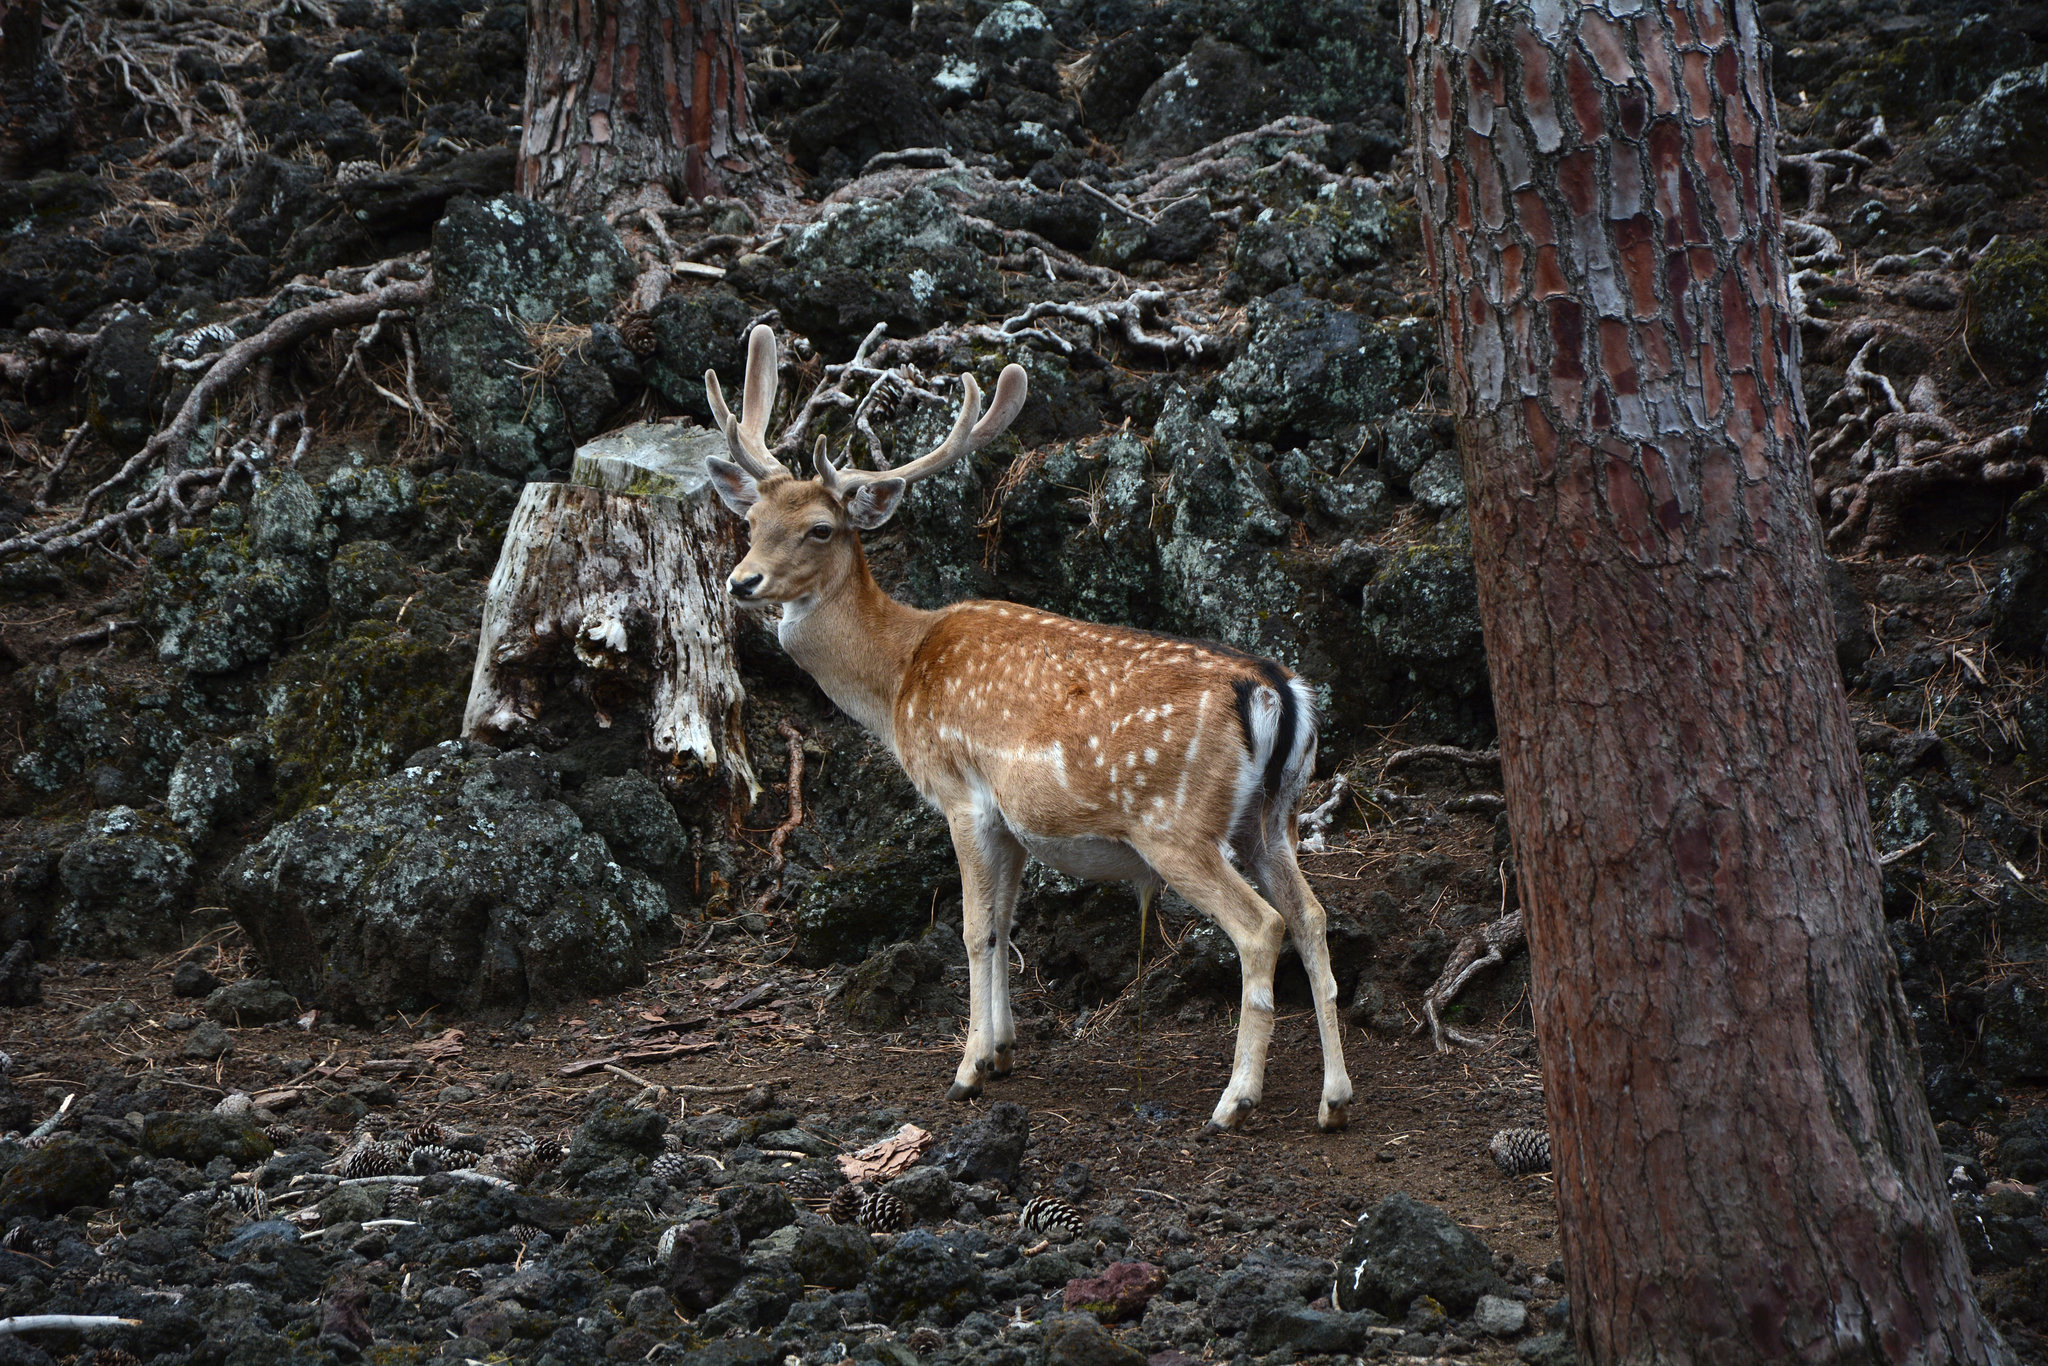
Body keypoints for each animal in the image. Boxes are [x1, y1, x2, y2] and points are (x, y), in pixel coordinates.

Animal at [704, 323, 1359, 1130]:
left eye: (820, 529)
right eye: (753, 523)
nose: (742, 581)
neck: (899, 677)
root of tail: (1275, 691)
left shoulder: (962, 794)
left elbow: (972, 929)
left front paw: (967, 1070)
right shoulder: (1015, 823)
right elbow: (1007, 925)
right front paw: (1003, 1049)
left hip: (1178, 825)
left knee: (1262, 926)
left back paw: (1234, 1101)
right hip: (1272, 816)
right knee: (1313, 916)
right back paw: (1334, 1099)